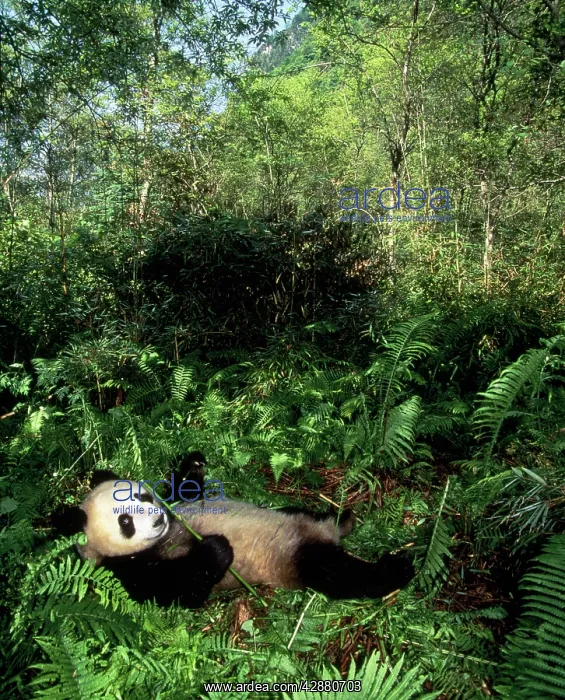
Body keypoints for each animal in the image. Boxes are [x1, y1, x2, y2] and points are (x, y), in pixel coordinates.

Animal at [52, 452, 414, 608]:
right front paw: (216, 548)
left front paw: (194, 463)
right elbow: (180, 588)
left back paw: (342, 517)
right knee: (338, 574)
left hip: (293, 516)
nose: (157, 520)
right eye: (125, 521)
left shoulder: (180, 509)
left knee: (304, 515)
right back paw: (397, 567)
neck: (167, 536)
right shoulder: (125, 571)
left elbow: (187, 492)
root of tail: (327, 535)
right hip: (295, 557)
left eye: (143, 496)